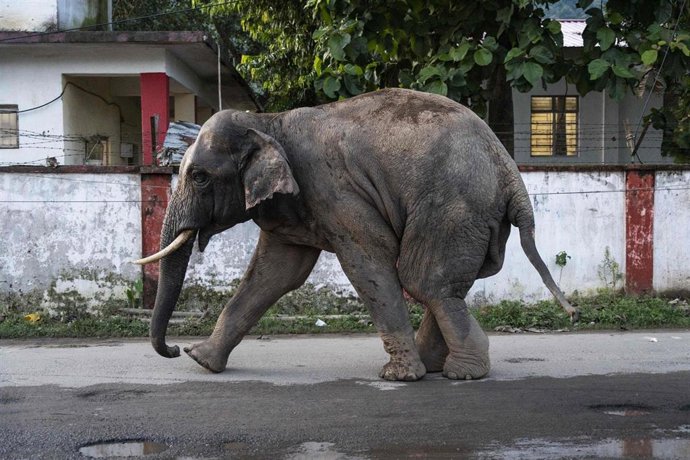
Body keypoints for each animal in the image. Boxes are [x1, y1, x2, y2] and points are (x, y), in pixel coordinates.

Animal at [135, 88, 576, 381]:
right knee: (448, 285)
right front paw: (202, 361)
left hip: (453, 208)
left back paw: (461, 373)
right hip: (479, 221)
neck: (267, 122)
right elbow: (277, 272)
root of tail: (509, 170)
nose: (174, 349)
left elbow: (367, 262)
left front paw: (399, 377)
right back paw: (442, 365)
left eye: (199, 177)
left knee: (425, 280)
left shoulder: (333, 189)